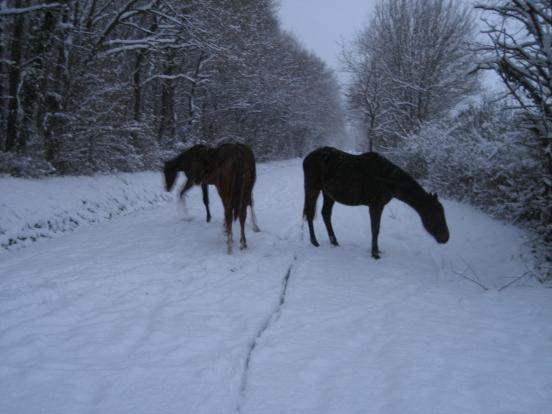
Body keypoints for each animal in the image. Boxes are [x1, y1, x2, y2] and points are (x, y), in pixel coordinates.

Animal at [304, 147, 450, 258]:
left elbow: (377, 228)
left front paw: (377, 250)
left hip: (328, 194)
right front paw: (375, 254)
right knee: (310, 213)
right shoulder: (375, 205)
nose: (445, 238)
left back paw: (334, 242)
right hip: (313, 188)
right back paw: (315, 241)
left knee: (325, 214)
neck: (386, 179)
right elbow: (374, 228)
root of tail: (308, 157)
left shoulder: (379, 206)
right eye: (434, 215)